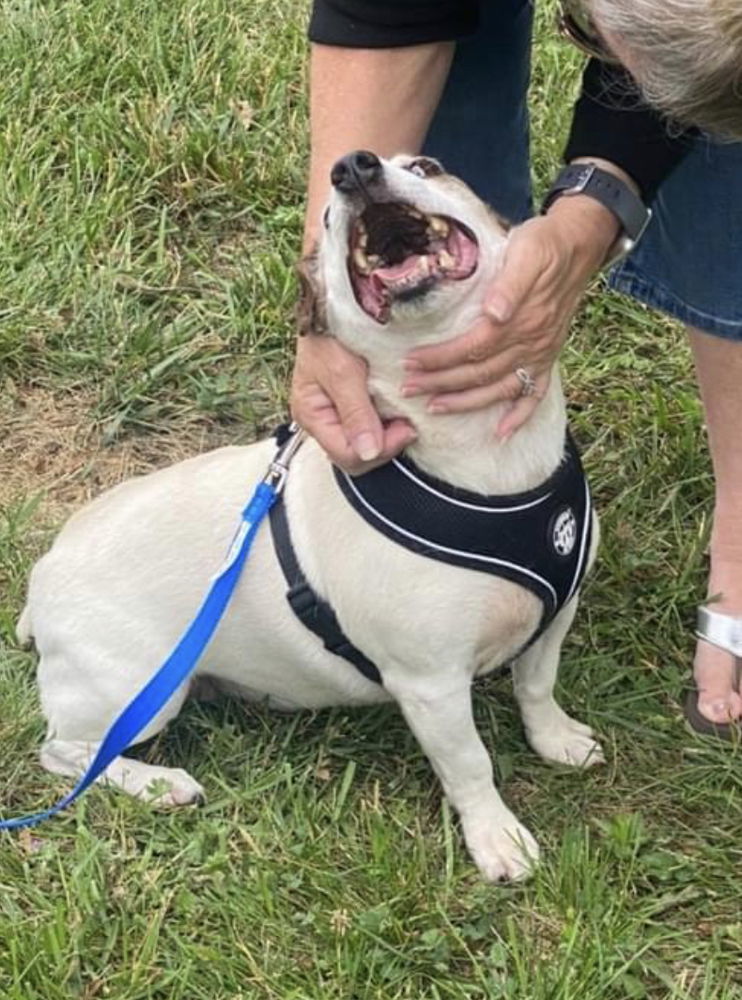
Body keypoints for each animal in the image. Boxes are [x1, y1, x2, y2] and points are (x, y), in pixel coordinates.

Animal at [17, 150, 604, 884]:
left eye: (427, 165)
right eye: (325, 216)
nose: (352, 165)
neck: (488, 460)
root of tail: (44, 579)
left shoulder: (557, 615)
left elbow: (537, 686)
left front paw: (555, 739)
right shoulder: (432, 686)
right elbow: (470, 764)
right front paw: (495, 837)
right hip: (134, 688)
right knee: (67, 754)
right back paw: (159, 784)